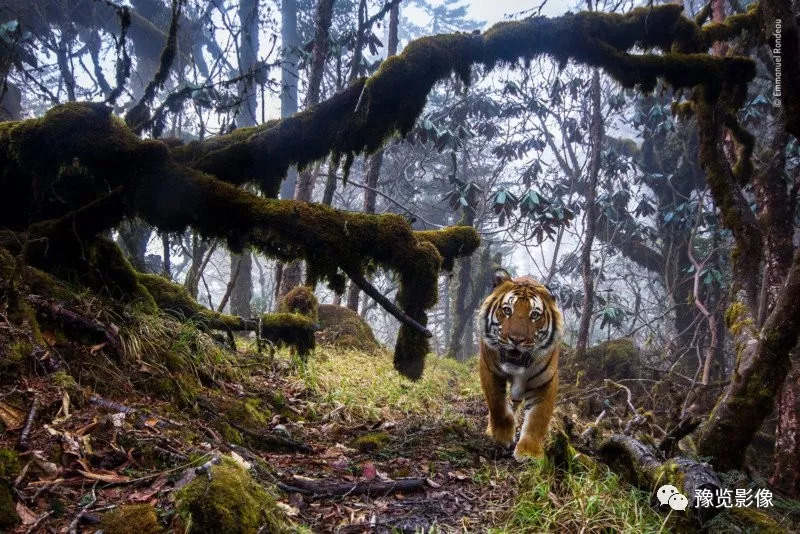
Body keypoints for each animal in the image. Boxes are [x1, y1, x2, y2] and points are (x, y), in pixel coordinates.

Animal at [476, 270, 564, 462]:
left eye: (535, 315)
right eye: (507, 310)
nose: (516, 339)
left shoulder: (545, 382)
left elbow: (538, 418)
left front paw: (529, 453)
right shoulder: (489, 370)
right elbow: (497, 405)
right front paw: (502, 436)